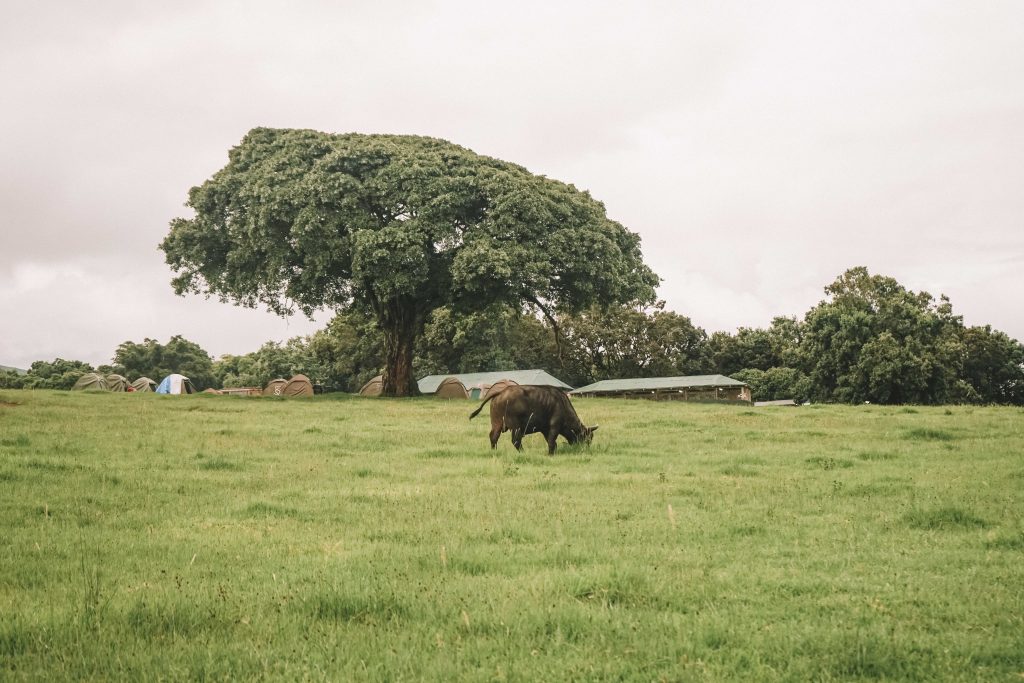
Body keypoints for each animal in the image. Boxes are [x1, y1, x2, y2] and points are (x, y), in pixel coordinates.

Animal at [468, 385, 598, 454]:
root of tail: (502, 392)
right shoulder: (554, 427)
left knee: (493, 437)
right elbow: (552, 442)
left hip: (497, 424)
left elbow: (551, 442)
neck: (562, 404)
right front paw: (551, 454)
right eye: (586, 438)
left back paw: (494, 451)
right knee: (516, 440)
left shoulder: (545, 430)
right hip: (516, 427)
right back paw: (523, 452)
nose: (585, 449)